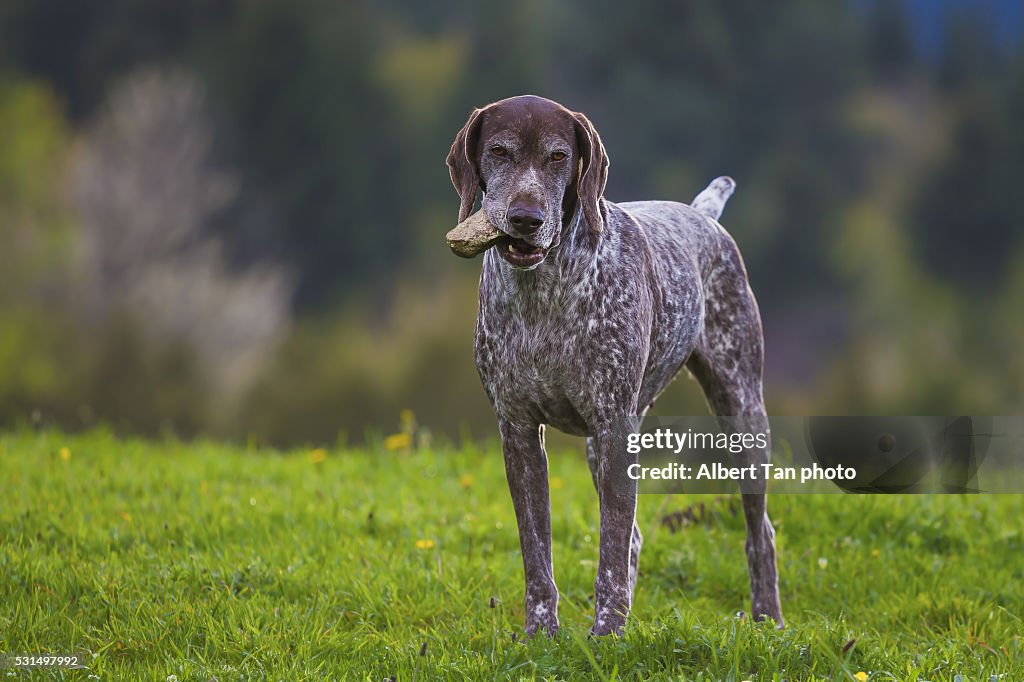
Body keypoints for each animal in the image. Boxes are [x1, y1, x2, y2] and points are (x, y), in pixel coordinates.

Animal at [444, 95, 778, 638]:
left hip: (741, 413)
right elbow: (537, 553)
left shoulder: (614, 427)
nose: (526, 217)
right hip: (599, 448)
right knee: (636, 537)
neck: (544, 290)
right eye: (498, 151)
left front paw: (607, 635)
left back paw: (768, 618)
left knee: (758, 530)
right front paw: (541, 633)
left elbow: (611, 548)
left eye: (559, 156)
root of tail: (701, 214)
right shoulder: (518, 431)